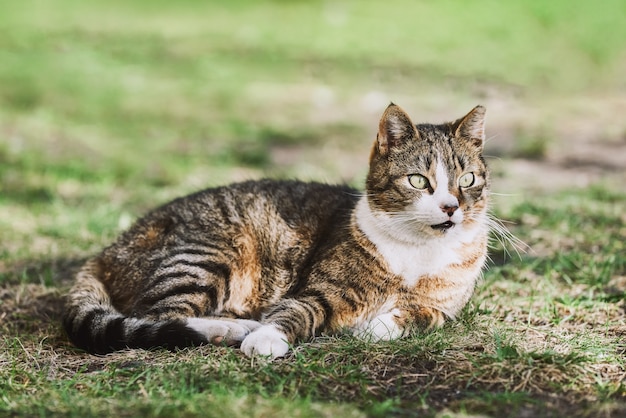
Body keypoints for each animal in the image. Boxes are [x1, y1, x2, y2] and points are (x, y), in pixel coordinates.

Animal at [63, 103, 488, 360]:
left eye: (467, 179)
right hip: (208, 253)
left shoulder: (445, 310)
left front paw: (374, 326)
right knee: (160, 318)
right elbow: (295, 312)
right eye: (419, 181)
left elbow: (419, 317)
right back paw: (233, 329)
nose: (451, 207)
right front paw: (267, 338)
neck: (419, 249)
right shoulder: (315, 292)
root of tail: (107, 250)